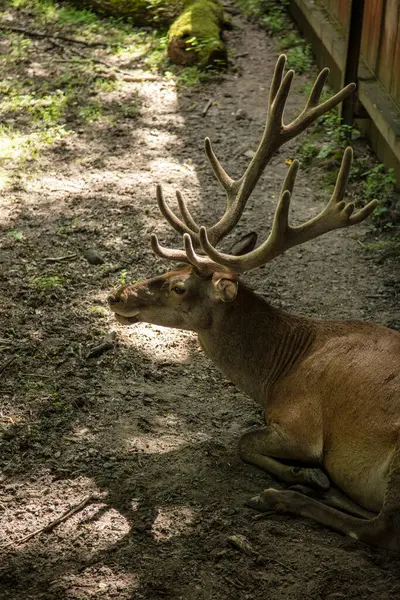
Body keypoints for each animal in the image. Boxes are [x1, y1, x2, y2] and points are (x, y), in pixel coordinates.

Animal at [107, 56, 400, 548]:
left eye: (180, 287)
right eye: (165, 271)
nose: (116, 295)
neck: (275, 372)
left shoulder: (301, 423)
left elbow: (242, 441)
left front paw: (302, 476)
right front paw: (310, 478)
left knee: (380, 529)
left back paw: (283, 495)